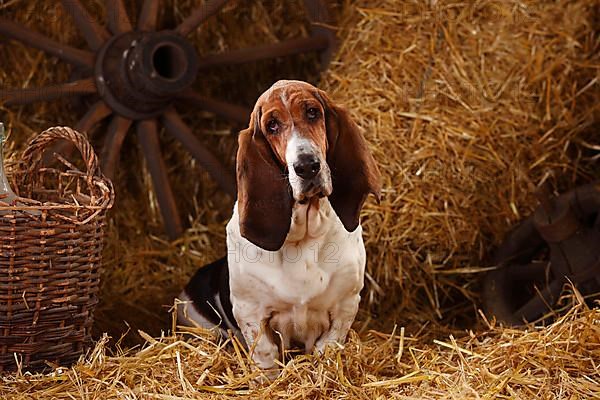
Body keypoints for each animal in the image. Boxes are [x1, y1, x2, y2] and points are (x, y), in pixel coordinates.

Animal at [178, 79, 382, 378]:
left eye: (312, 112)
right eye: (272, 125)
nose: (307, 166)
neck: (303, 235)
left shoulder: (345, 305)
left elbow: (328, 347)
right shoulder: (251, 313)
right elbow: (266, 356)